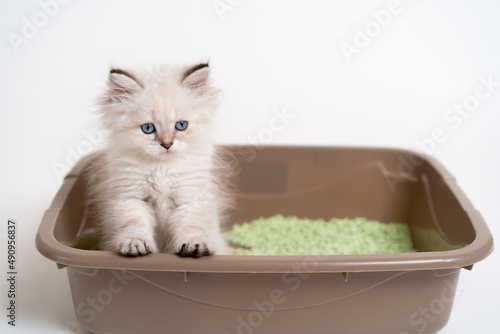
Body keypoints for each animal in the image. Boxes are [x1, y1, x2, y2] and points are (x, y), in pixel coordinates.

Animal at [86, 62, 230, 258]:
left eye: (181, 125)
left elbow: (190, 227)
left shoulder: (190, 198)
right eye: (148, 128)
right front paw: (135, 244)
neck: (162, 168)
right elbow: (135, 225)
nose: (167, 144)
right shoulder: (131, 197)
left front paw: (194, 245)